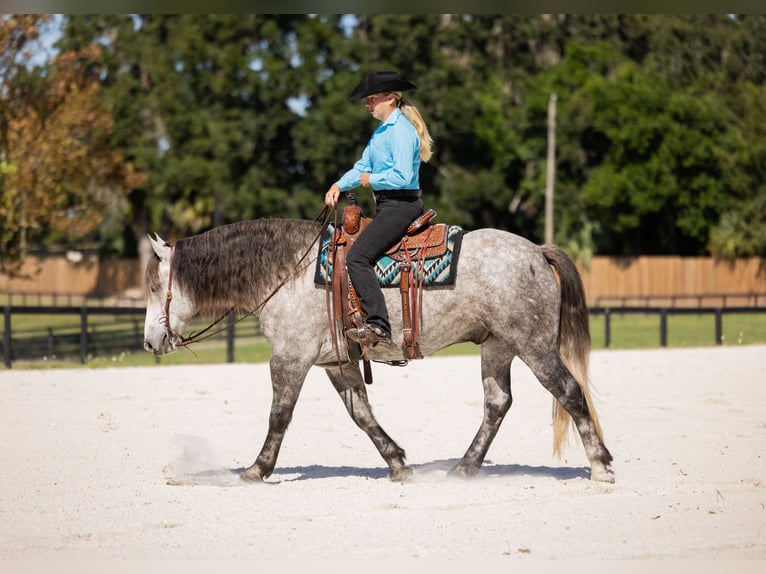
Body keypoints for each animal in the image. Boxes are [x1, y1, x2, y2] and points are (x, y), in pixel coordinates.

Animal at [143, 216, 614, 483]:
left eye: (151, 286)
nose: (149, 341)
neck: (289, 270)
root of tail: (536, 250)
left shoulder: (290, 358)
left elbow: (279, 415)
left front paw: (257, 469)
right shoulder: (335, 362)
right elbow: (362, 415)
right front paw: (398, 463)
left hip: (534, 346)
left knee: (570, 392)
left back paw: (601, 465)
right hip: (497, 347)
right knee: (497, 404)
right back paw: (464, 468)